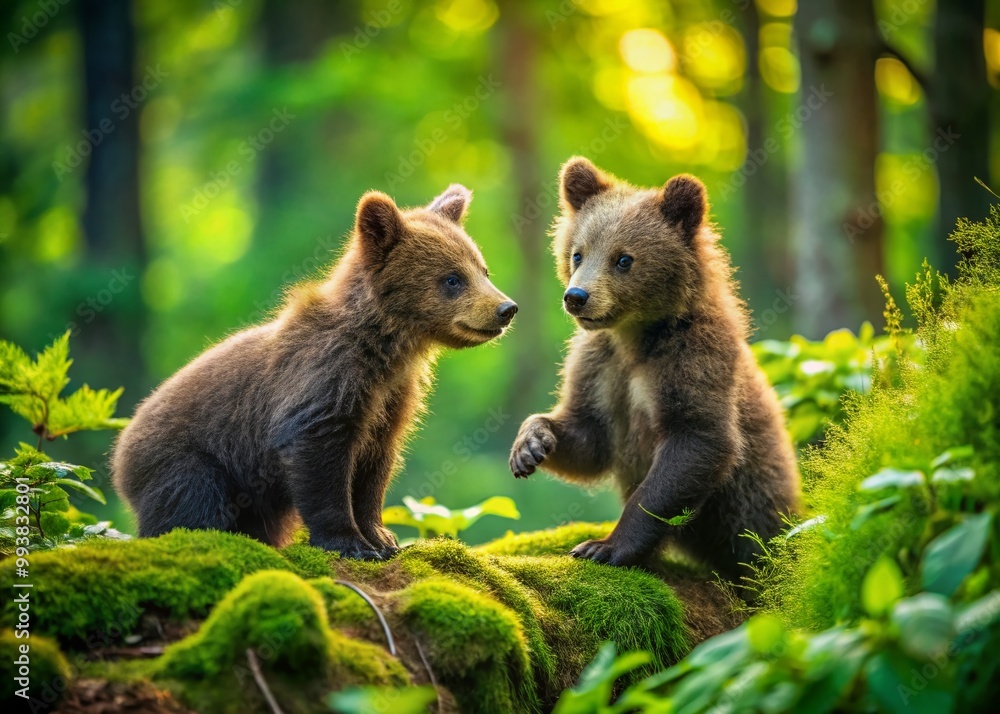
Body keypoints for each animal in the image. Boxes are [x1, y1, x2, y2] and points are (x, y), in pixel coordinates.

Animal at [113, 184, 517, 560]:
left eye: (483, 269)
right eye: (453, 278)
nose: (506, 308)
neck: (386, 349)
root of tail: (118, 454)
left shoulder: (391, 401)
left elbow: (374, 470)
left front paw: (382, 538)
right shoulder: (324, 383)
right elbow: (320, 465)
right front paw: (350, 542)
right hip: (189, 460)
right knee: (194, 503)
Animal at [509, 157, 800, 583]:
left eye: (623, 258)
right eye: (578, 253)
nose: (577, 296)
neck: (637, 336)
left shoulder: (692, 361)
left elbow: (693, 444)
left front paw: (603, 547)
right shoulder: (601, 366)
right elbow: (589, 435)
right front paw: (530, 446)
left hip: (757, 509)